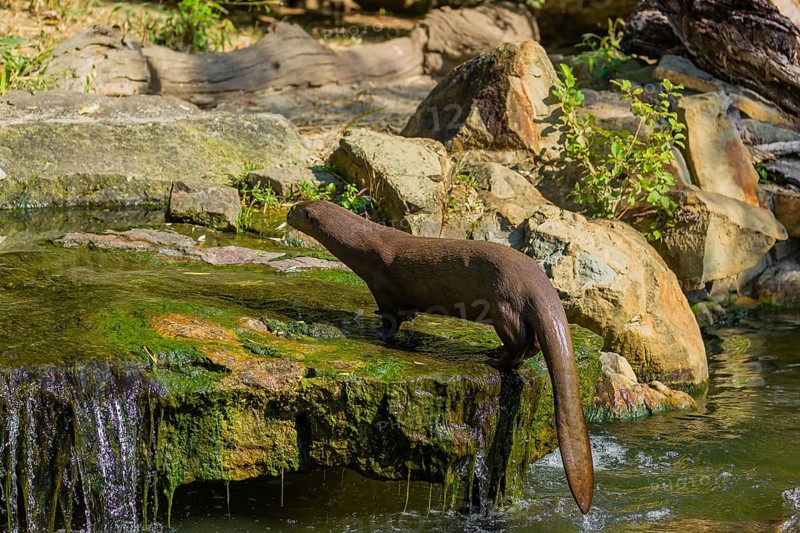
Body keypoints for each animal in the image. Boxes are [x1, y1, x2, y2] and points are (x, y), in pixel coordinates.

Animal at [287, 200, 593, 514]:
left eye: (297, 208)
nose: (287, 211)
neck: (365, 243)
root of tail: (539, 283)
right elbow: (405, 314)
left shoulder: (381, 285)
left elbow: (390, 320)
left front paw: (377, 333)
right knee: (530, 345)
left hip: (503, 303)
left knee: (520, 341)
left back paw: (496, 359)